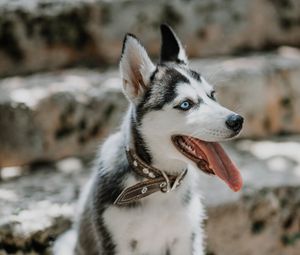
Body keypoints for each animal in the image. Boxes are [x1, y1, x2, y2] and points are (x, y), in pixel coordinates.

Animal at [74, 24, 243, 255]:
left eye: (212, 95)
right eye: (185, 104)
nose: (237, 121)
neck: (160, 183)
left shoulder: (184, 239)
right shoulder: (115, 243)